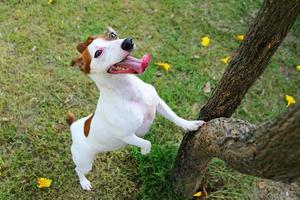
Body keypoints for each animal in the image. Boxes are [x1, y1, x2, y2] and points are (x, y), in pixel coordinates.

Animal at [67, 27, 205, 190]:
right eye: (98, 53)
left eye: (112, 35)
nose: (128, 42)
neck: (130, 92)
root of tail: (73, 126)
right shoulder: (127, 135)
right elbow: (146, 142)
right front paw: (145, 152)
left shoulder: (158, 103)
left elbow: (175, 117)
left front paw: (190, 125)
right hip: (85, 161)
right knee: (78, 169)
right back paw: (84, 182)